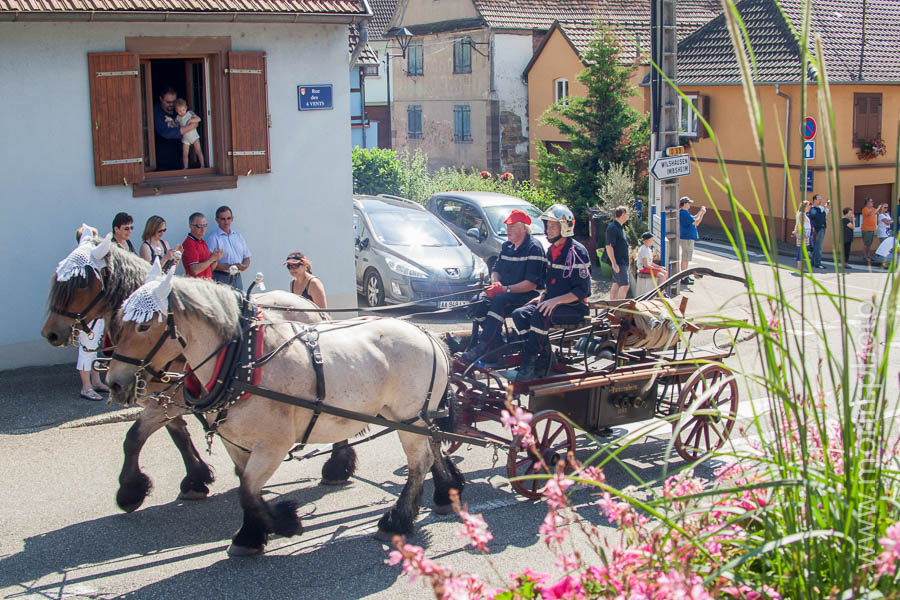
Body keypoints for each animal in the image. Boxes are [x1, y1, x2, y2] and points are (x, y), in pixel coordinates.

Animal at [105, 268, 464, 556]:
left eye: (142, 327)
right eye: (119, 321)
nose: (114, 383)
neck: (243, 361)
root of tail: (427, 335)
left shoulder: (273, 445)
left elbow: (249, 489)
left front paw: (283, 522)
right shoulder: (235, 442)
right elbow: (244, 485)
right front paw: (251, 535)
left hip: (409, 416)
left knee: (419, 463)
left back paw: (396, 521)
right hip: (412, 416)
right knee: (433, 446)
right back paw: (445, 493)